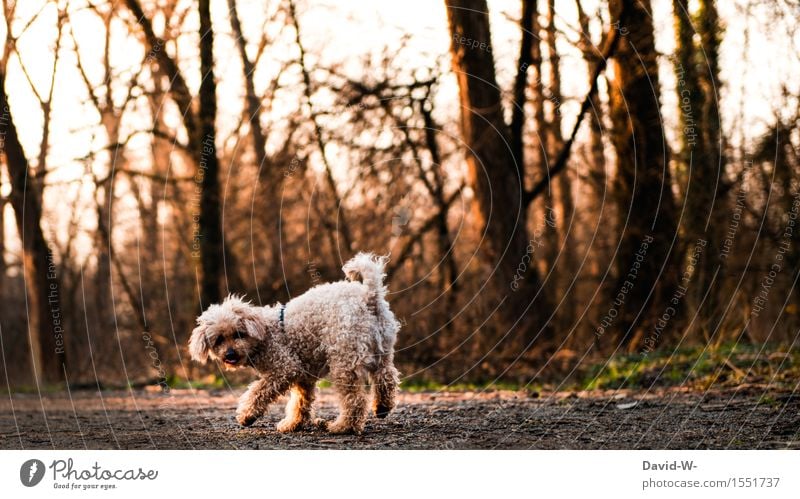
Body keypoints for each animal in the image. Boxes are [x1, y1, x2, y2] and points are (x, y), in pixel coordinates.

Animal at [188, 254, 400, 434]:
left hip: (344, 359)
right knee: (387, 376)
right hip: (382, 350)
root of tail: (369, 296)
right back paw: (382, 407)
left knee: (355, 400)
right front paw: (294, 423)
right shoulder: (303, 376)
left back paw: (341, 427)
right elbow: (300, 401)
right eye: (219, 339)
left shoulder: (284, 369)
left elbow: (258, 390)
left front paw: (247, 415)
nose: (230, 355)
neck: (265, 332)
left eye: (239, 334)